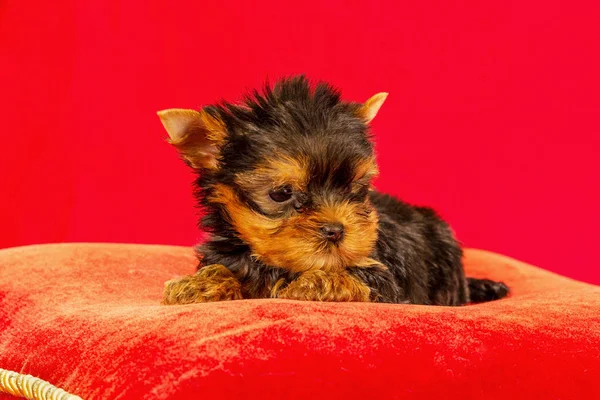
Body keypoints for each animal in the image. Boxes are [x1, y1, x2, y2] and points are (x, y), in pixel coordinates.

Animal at [157, 76, 508, 304]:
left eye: (357, 188)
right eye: (281, 193)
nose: (336, 230)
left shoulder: (387, 278)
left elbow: (357, 276)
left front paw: (318, 282)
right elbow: (223, 267)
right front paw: (199, 284)